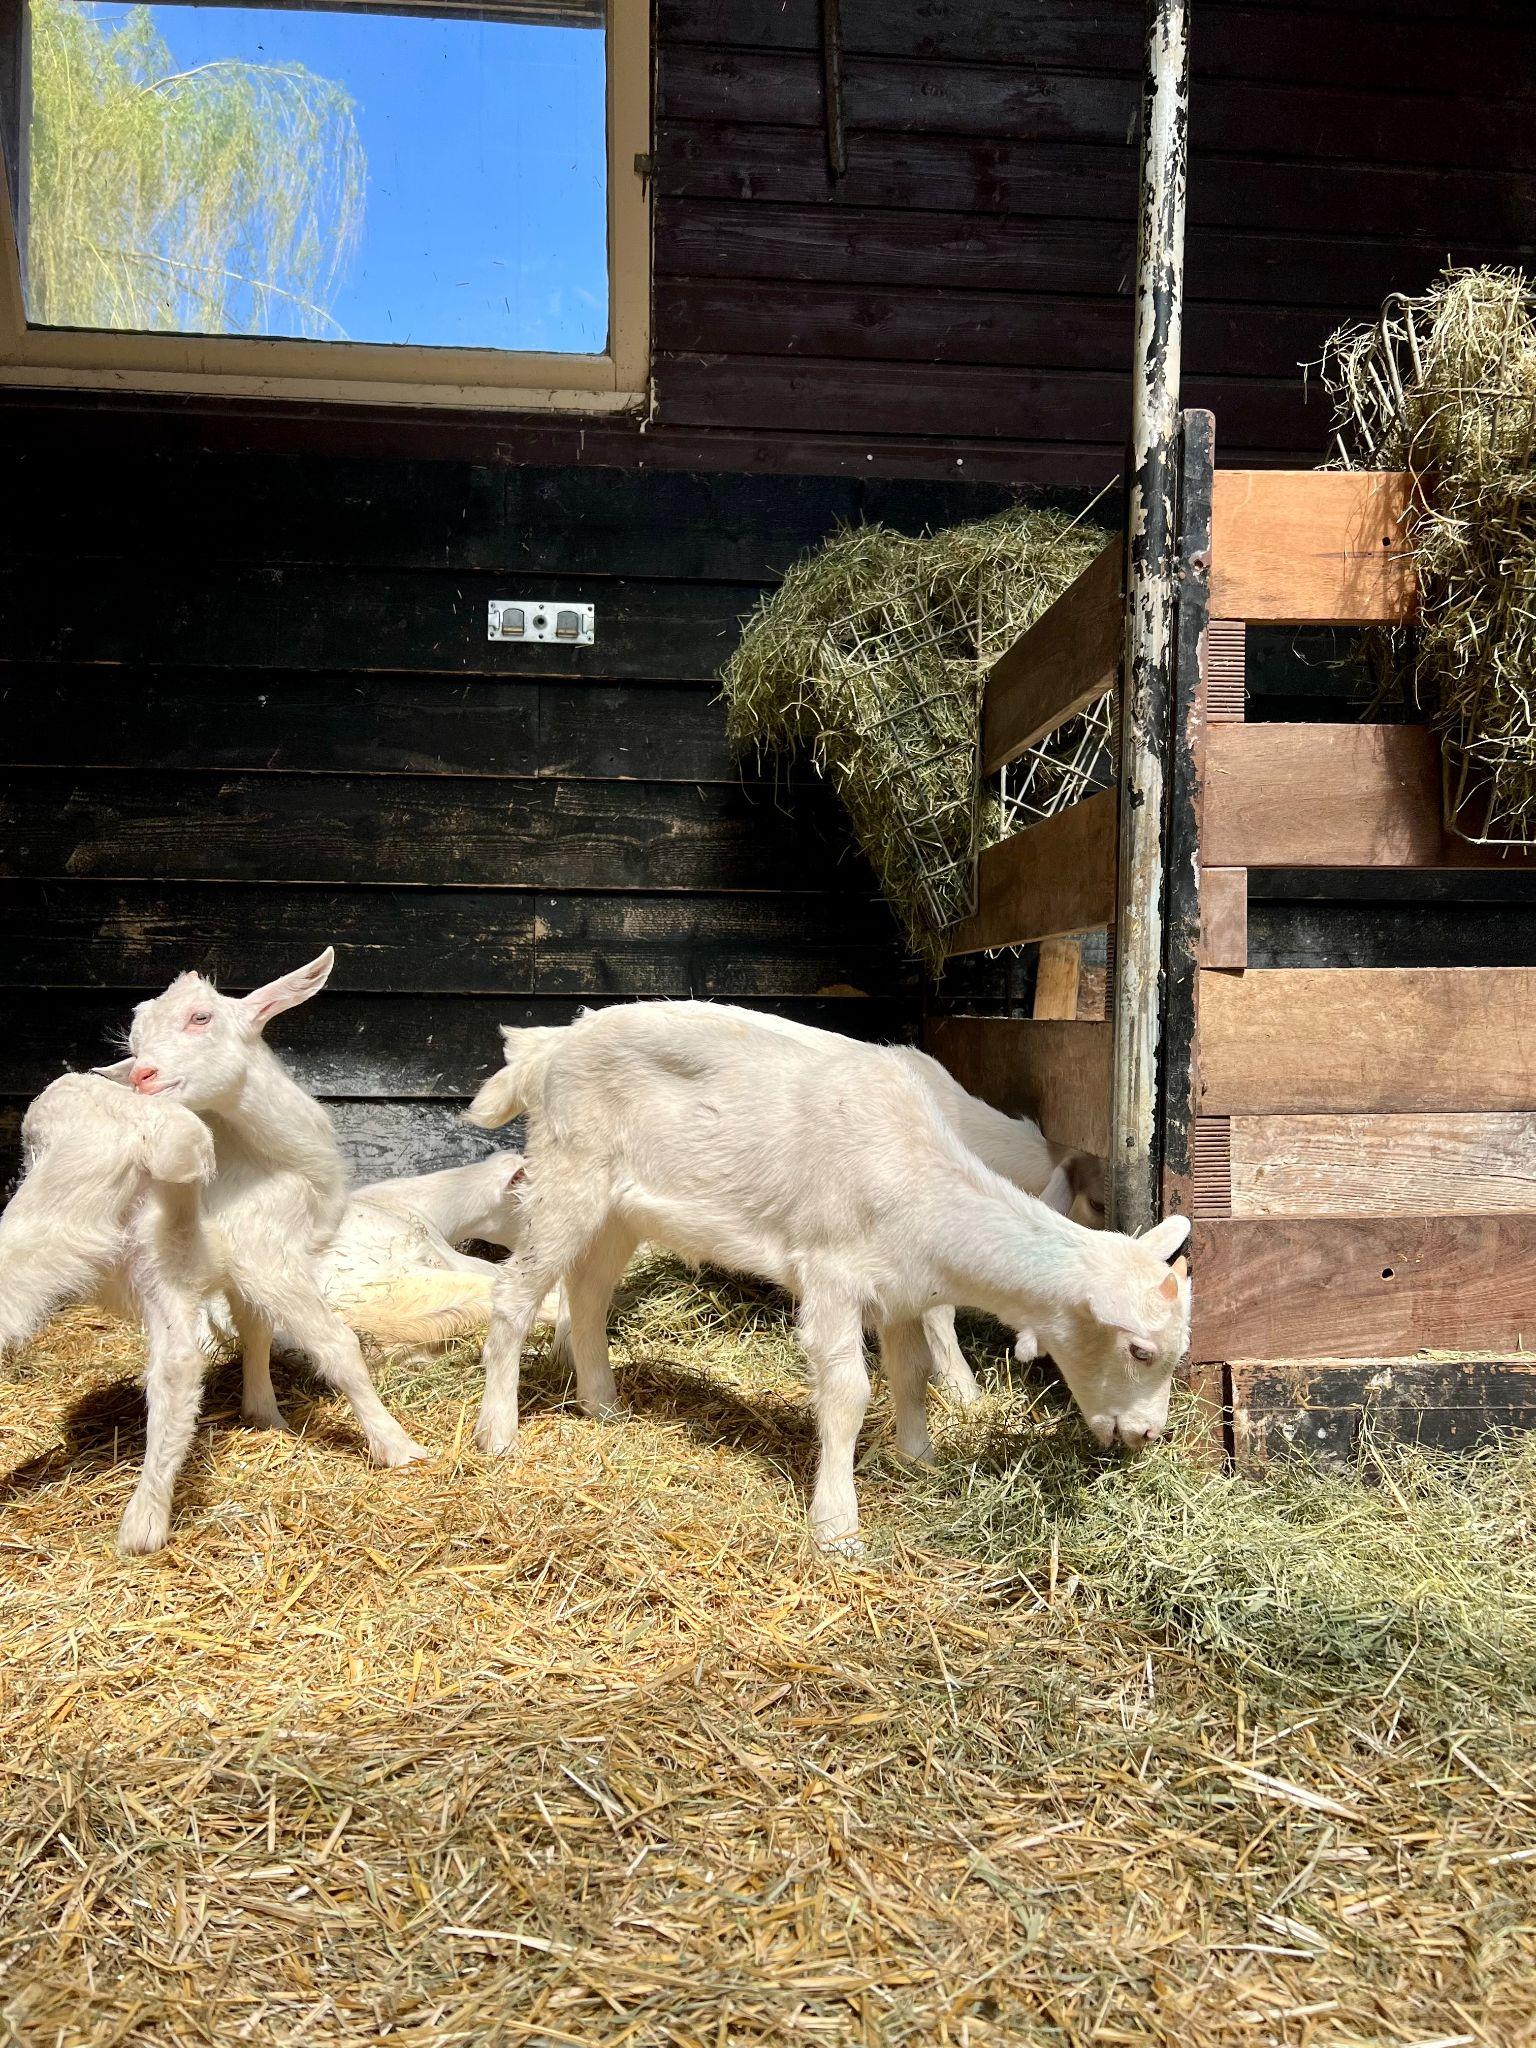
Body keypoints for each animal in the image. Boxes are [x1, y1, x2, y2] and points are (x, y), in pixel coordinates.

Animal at [465, 1001, 1190, 1550]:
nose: (1149, 1434)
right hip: (568, 1173)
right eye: (1139, 1349)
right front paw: (837, 1526)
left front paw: (919, 1458)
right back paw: (496, 1433)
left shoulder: (902, 1290)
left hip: (619, 1210)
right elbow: (847, 1393)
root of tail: (550, 1043)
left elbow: (911, 1374)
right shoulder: (832, 1273)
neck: (919, 1177)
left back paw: (603, 1405)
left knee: (587, 1295)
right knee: (513, 1295)